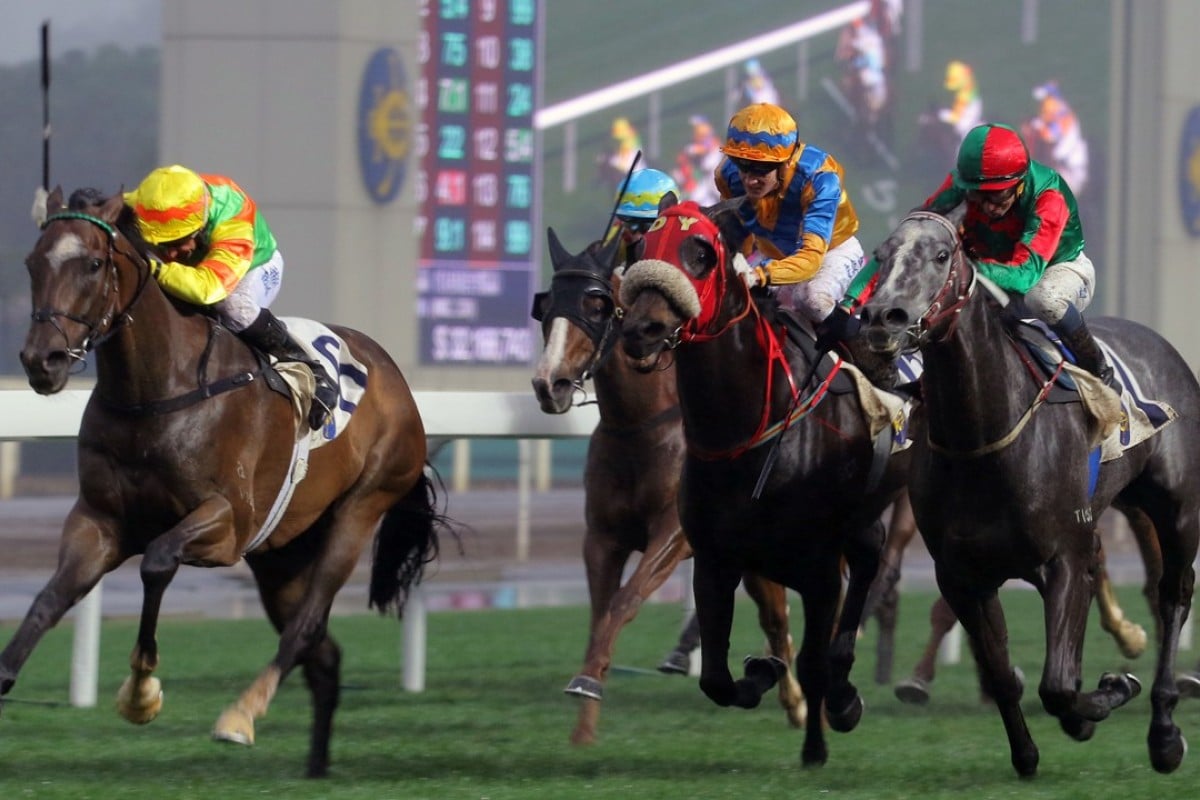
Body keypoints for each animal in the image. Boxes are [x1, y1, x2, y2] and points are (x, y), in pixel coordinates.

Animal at [4, 188, 451, 777]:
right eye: (33, 262)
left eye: (94, 264)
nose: (42, 361)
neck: (156, 392)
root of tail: (395, 375)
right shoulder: (97, 522)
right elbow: (49, 598)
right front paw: (5, 674)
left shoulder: (227, 523)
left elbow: (157, 561)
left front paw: (141, 691)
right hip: (282, 553)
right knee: (323, 655)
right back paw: (315, 768)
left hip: (359, 509)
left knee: (306, 626)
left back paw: (241, 715)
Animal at [530, 230, 801, 743]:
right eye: (545, 305)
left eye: (598, 303)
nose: (548, 384)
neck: (641, 426)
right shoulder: (602, 537)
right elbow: (600, 613)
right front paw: (583, 725)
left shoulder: (671, 534)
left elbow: (625, 600)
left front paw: (587, 685)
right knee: (775, 615)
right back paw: (794, 700)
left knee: (784, 613)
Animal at [619, 201, 907, 767]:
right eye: (640, 248)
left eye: (702, 254)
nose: (643, 328)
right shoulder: (714, 559)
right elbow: (715, 678)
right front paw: (764, 671)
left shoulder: (819, 569)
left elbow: (815, 661)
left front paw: (817, 742)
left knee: (869, 567)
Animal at [864, 208, 1200, 777]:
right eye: (880, 255)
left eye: (940, 255)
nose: (880, 317)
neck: (982, 438)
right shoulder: (962, 575)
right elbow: (1006, 675)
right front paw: (1027, 752)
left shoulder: (1065, 556)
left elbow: (1058, 685)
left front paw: (1112, 690)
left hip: (1176, 511)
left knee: (1173, 593)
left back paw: (1164, 731)